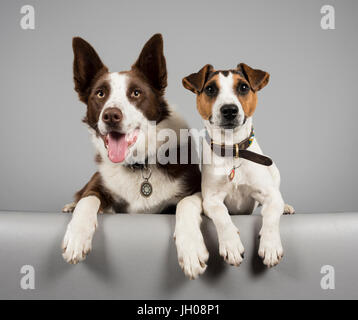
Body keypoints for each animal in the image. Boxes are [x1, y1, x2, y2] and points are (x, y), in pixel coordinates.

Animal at [61, 34, 201, 264]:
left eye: (136, 93)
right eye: (100, 94)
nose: (111, 115)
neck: (139, 164)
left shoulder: (194, 188)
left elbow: (186, 203)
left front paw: (191, 248)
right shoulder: (100, 183)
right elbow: (88, 199)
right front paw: (76, 236)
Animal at [178, 63, 296, 278]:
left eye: (243, 87)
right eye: (210, 89)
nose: (229, 110)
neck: (233, 151)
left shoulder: (269, 195)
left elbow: (271, 214)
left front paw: (270, 245)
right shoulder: (211, 199)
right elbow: (222, 215)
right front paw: (231, 244)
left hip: (274, 170)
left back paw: (286, 207)